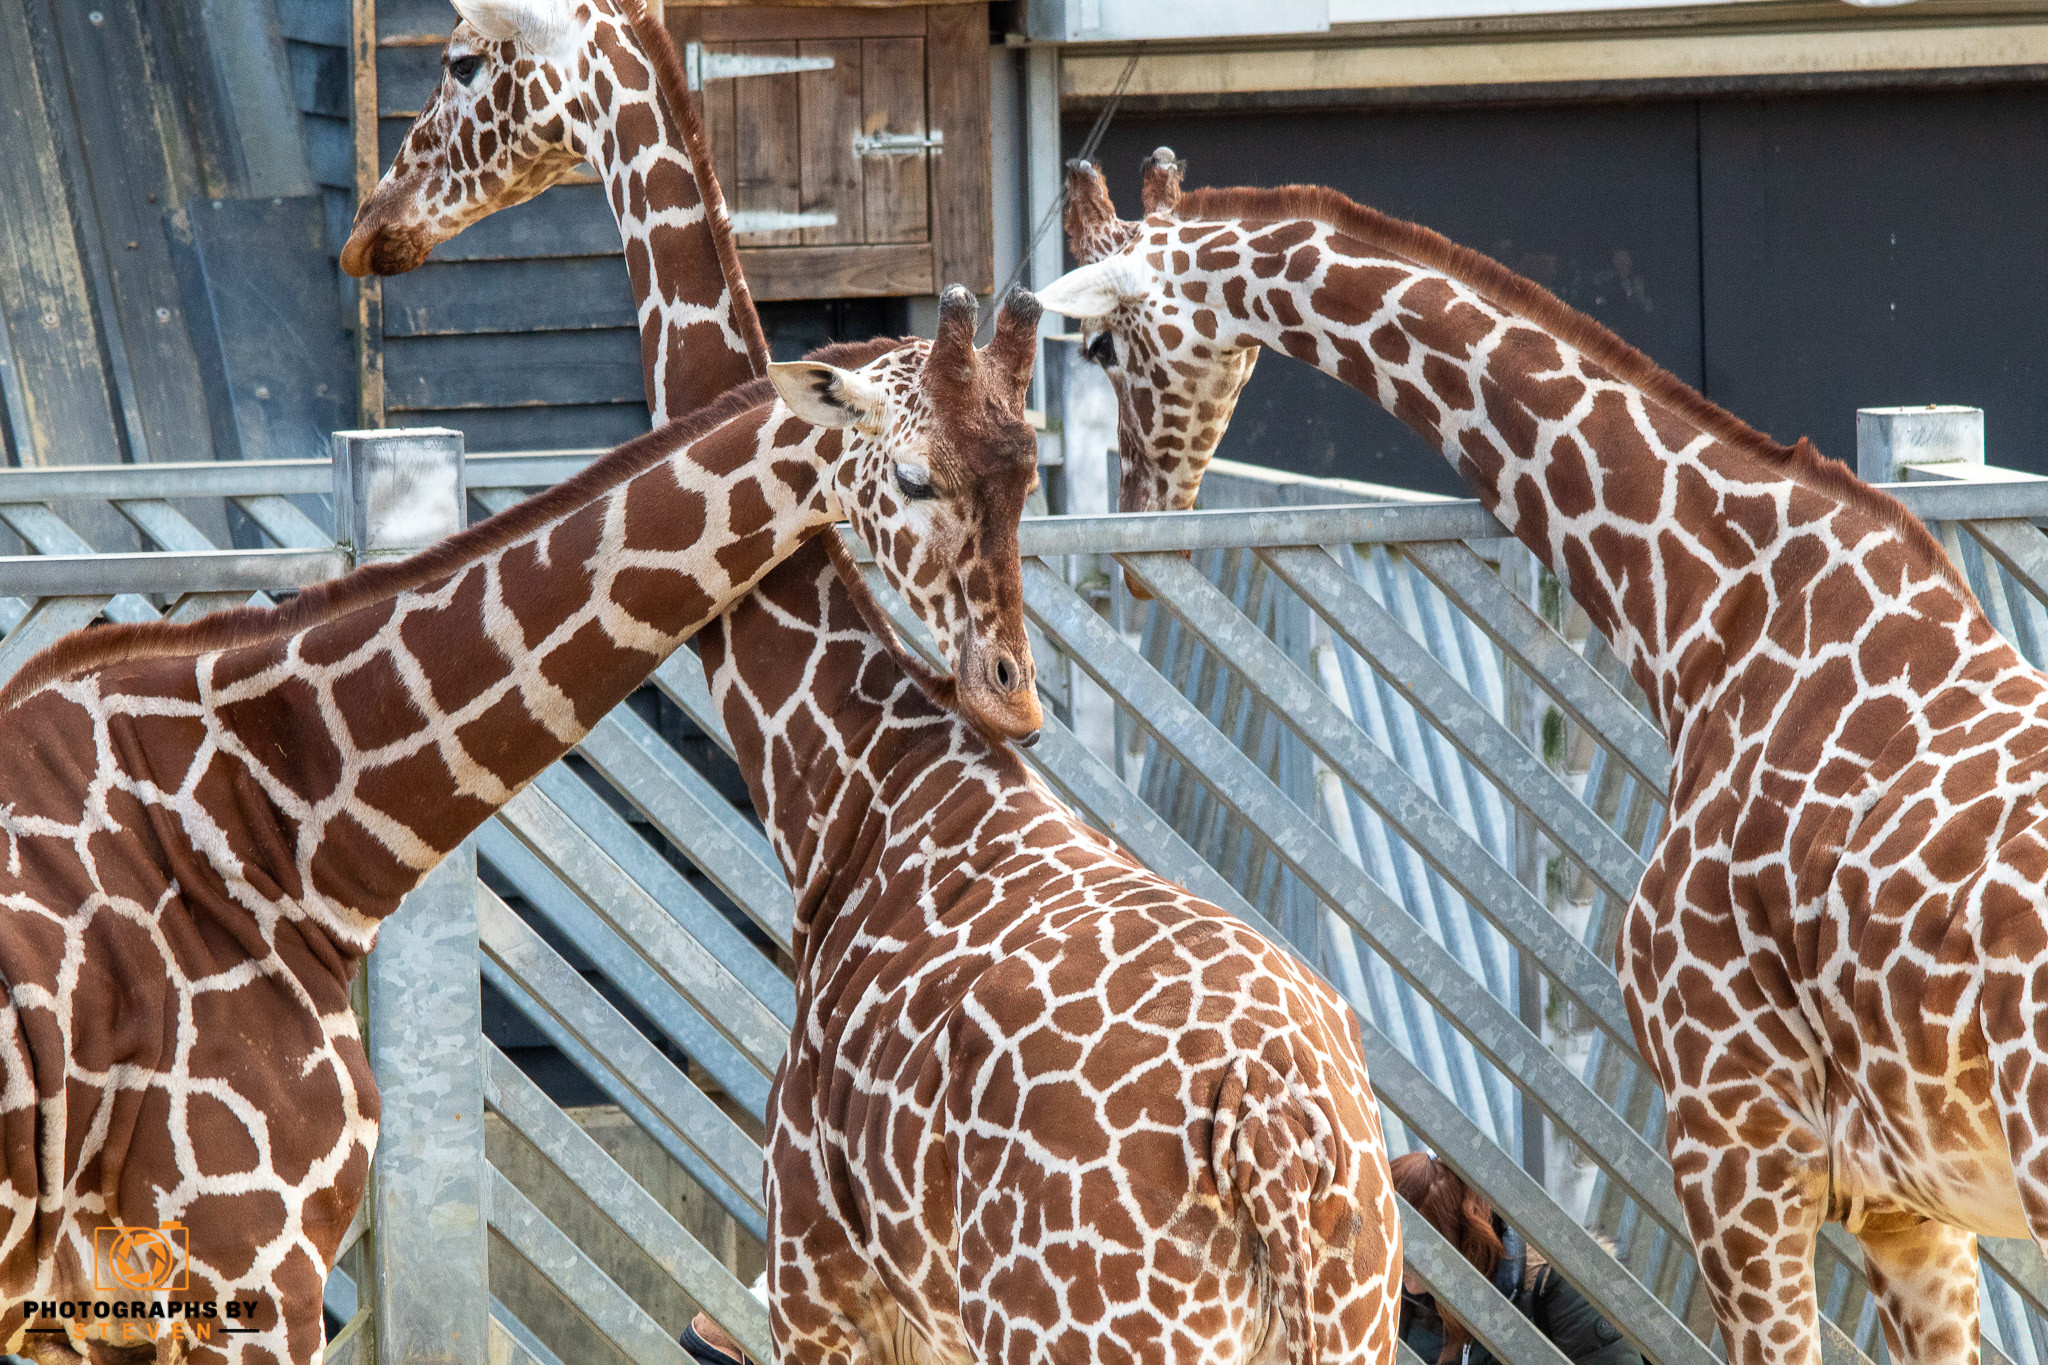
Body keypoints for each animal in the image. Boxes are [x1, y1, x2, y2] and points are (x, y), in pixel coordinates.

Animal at [350, 6, 1405, 1363]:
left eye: (460, 61)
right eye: (932, 477)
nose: (377, 229)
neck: (853, 789)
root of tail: (1272, 1132)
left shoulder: (816, 1281)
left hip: (1076, 1330)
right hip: (1351, 1315)